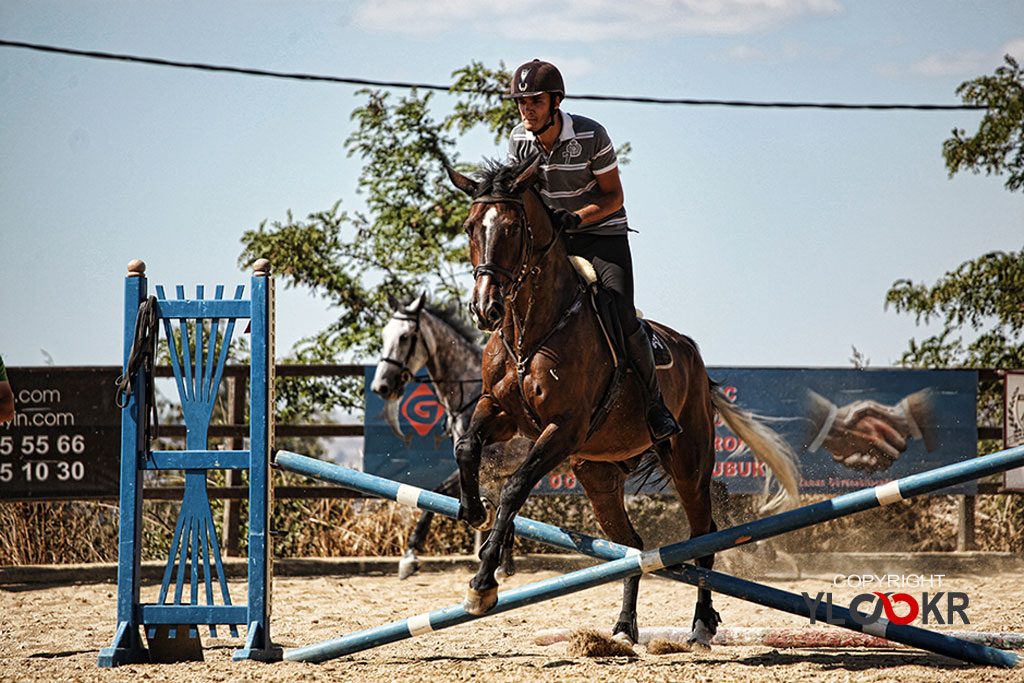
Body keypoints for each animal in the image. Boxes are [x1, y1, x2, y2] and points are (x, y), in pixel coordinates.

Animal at [448, 157, 798, 651]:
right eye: (470, 227)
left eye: (514, 229)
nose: (486, 309)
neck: (530, 331)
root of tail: (695, 358)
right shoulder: (501, 413)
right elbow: (466, 446)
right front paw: (474, 509)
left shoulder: (565, 428)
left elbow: (515, 488)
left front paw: (482, 585)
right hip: (598, 474)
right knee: (632, 546)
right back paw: (624, 626)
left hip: (688, 463)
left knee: (703, 537)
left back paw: (701, 625)